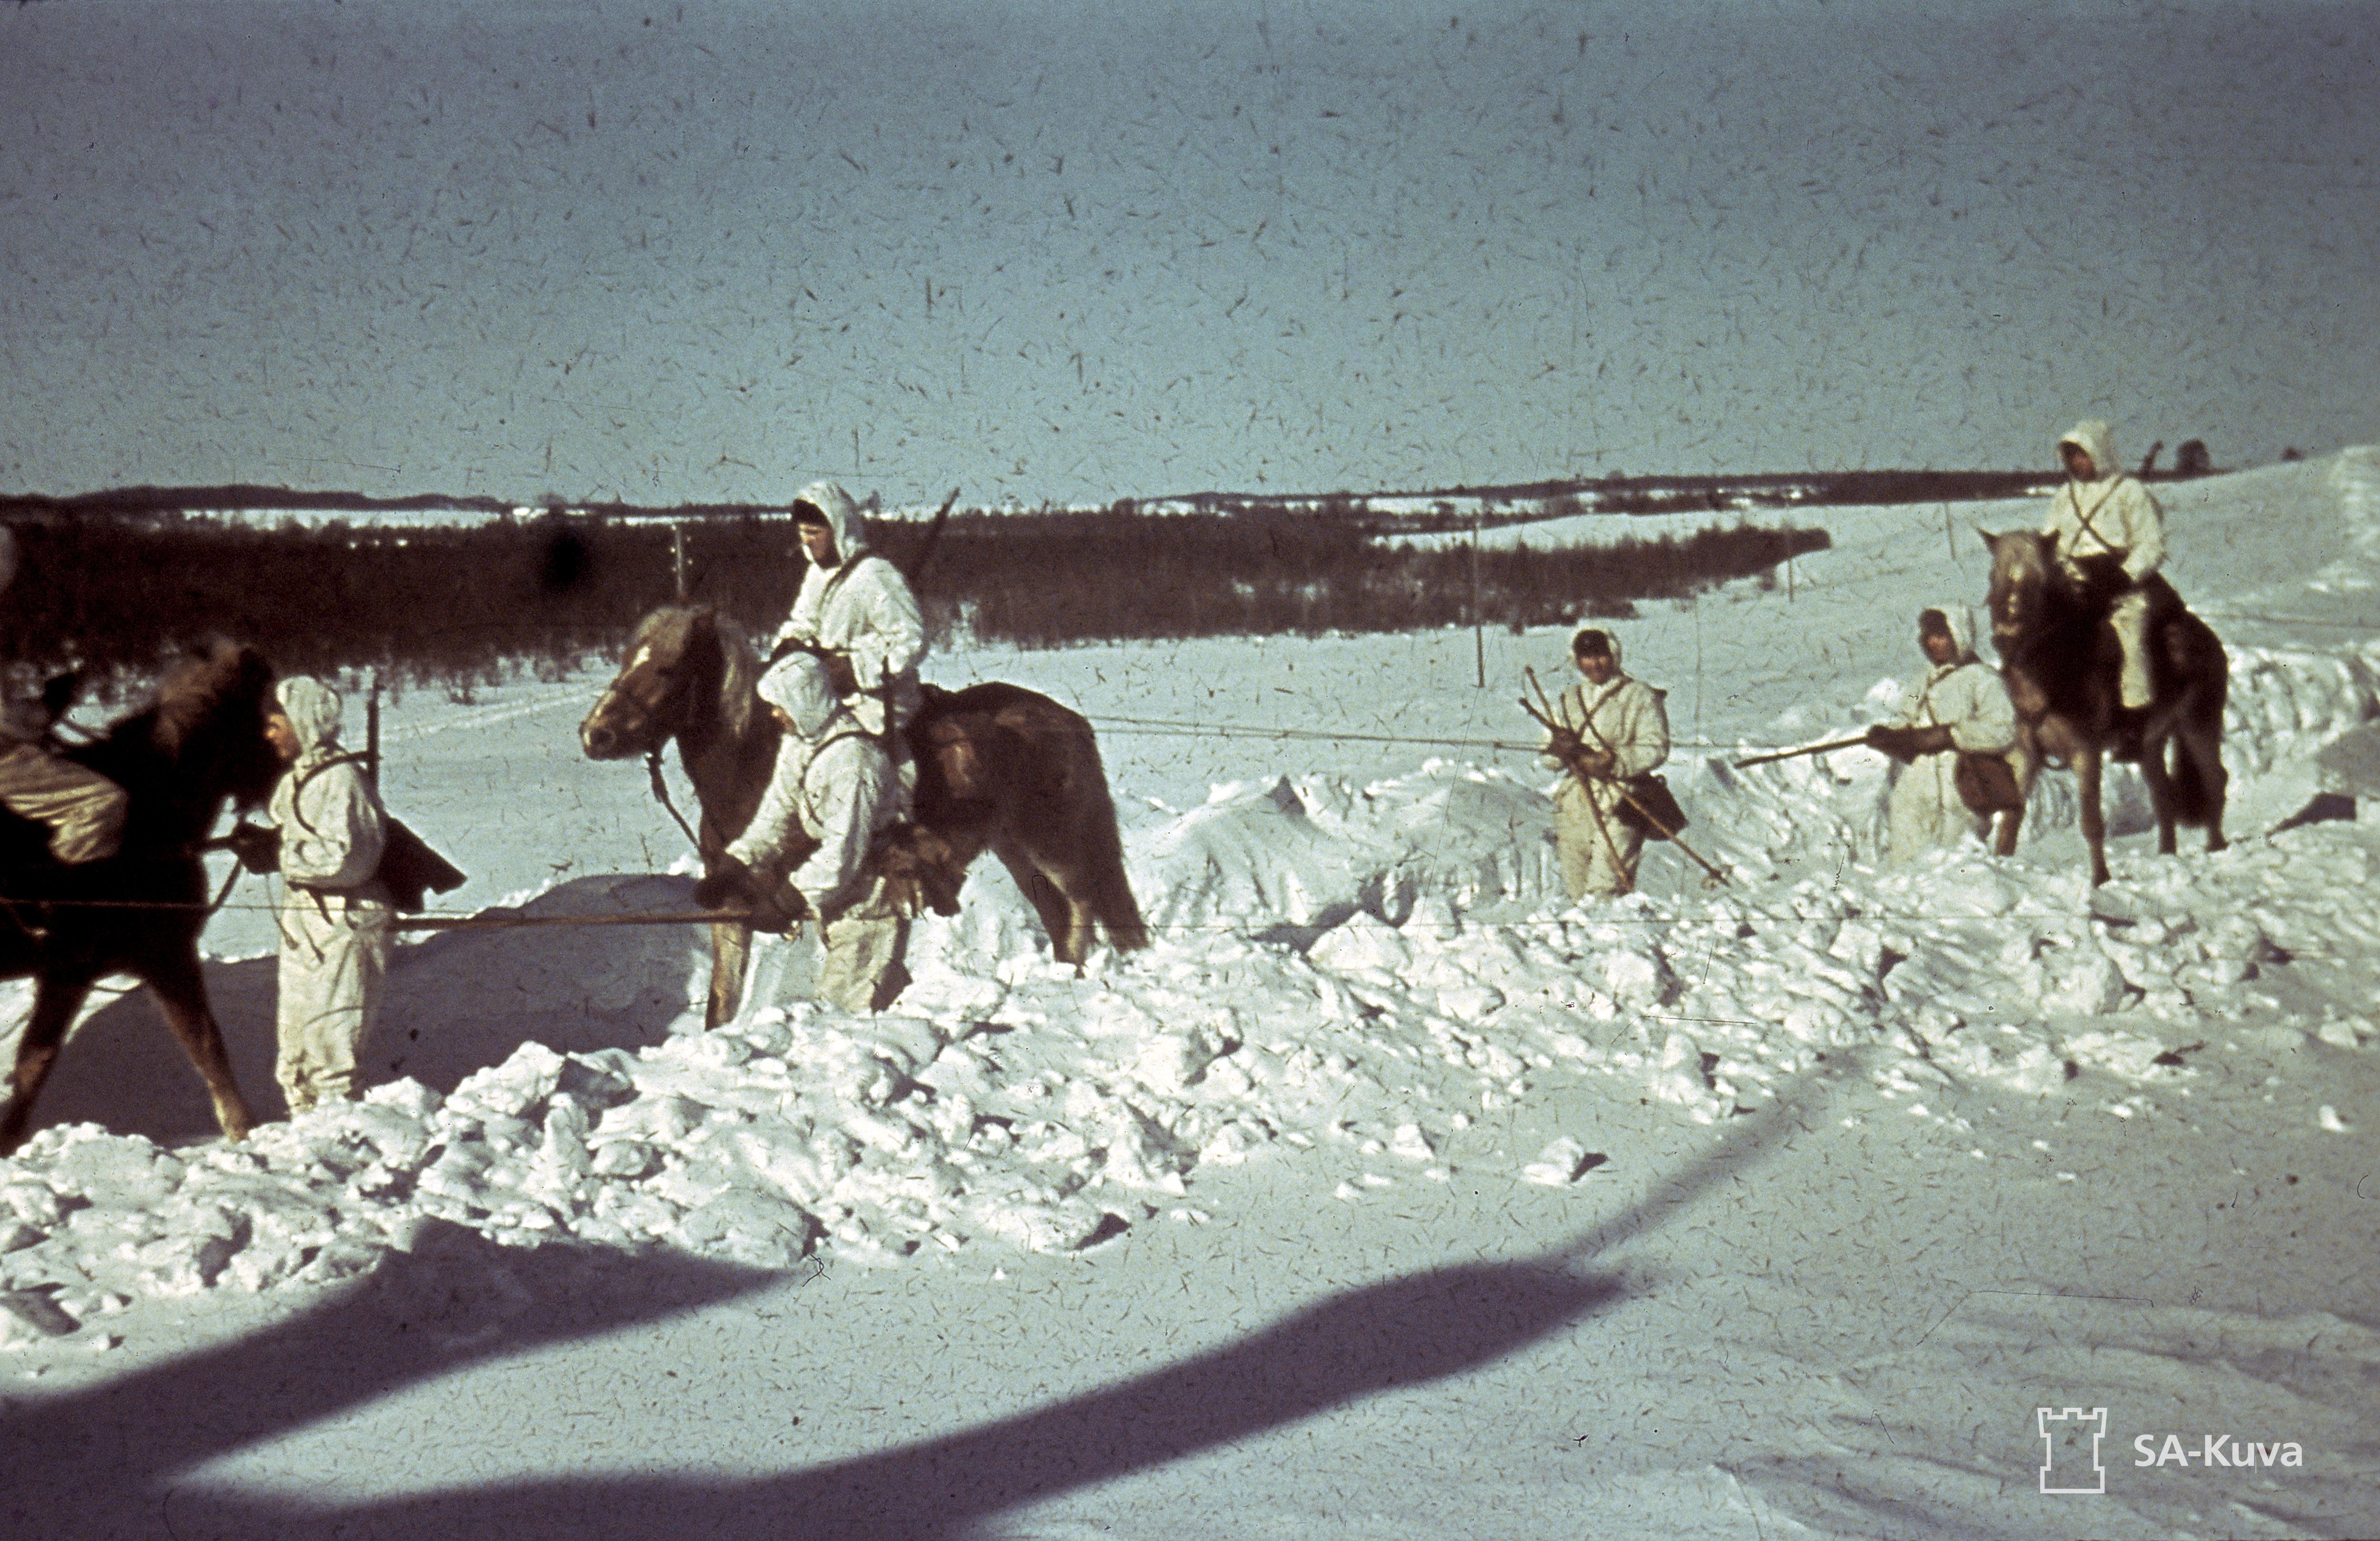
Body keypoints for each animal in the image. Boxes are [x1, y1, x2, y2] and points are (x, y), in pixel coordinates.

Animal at [3, 638, 283, 1157]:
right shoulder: (164, 954)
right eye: (265, 718)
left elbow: (34, 1059)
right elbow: (207, 1043)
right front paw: (244, 1129)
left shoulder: (70, 972)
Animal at [581, 609, 1147, 1029]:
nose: (595, 734)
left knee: (1081, 904)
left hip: (1056, 846)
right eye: (626, 659)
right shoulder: (732, 912)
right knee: (1058, 914)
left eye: (668, 669)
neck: (751, 773)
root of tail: (1065, 719)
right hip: (1016, 851)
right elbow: (721, 1005)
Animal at [1971, 531, 2228, 886]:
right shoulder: (2026, 753)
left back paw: (2216, 847)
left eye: (2039, 581)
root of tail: (2206, 637)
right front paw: (2003, 868)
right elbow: (2011, 818)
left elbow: (2092, 822)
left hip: (2199, 726)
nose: (2005, 639)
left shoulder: (2086, 753)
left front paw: (2101, 880)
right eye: (1993, 576)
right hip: (2151, 744)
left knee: (2215, 779)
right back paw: (2167, 855)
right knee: (2164, 796)